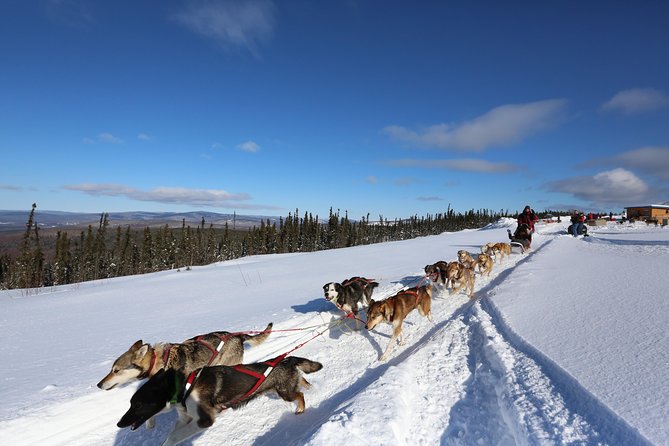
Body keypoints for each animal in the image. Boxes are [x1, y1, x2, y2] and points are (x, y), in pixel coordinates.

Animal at [118, 356, 324, 446]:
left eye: (137, 404)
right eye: (130, 403)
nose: (119, 423)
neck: (184, 386)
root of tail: (287, 360)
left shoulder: (204, 420)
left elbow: (175, 436)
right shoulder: (186, 417)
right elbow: (172, 434)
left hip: (284, 392)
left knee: (299, 396)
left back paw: (300, 410)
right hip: (285, 386)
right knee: (303, 383)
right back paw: (311, 387)